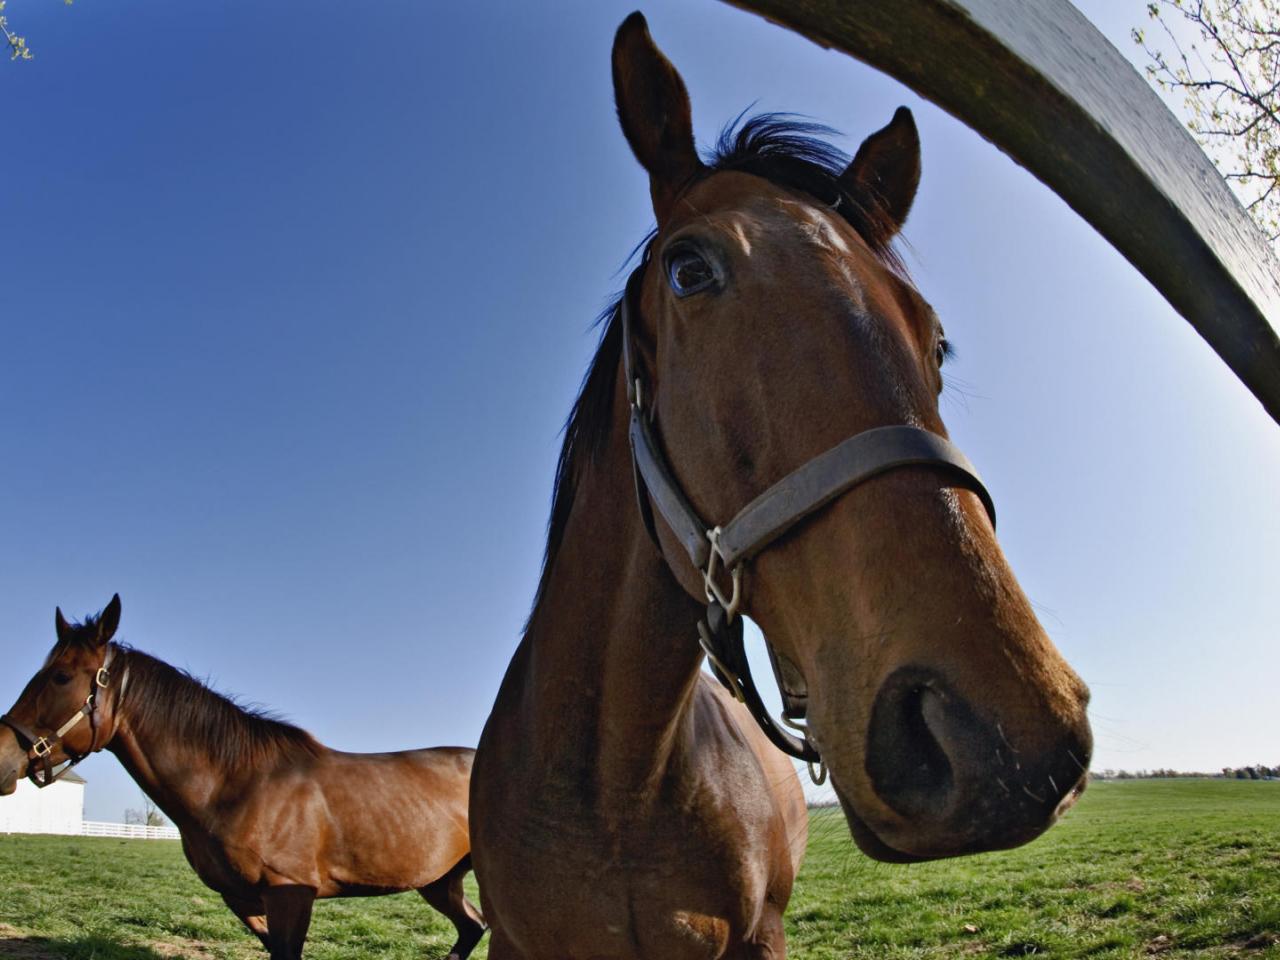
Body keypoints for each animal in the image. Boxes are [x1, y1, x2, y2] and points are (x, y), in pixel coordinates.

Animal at [0, 593, 483, 960]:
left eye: (61, 676)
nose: (4, 757)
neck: (237, 785)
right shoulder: (243, 899)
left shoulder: (290, 894)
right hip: (440, 882)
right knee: (472, 927)